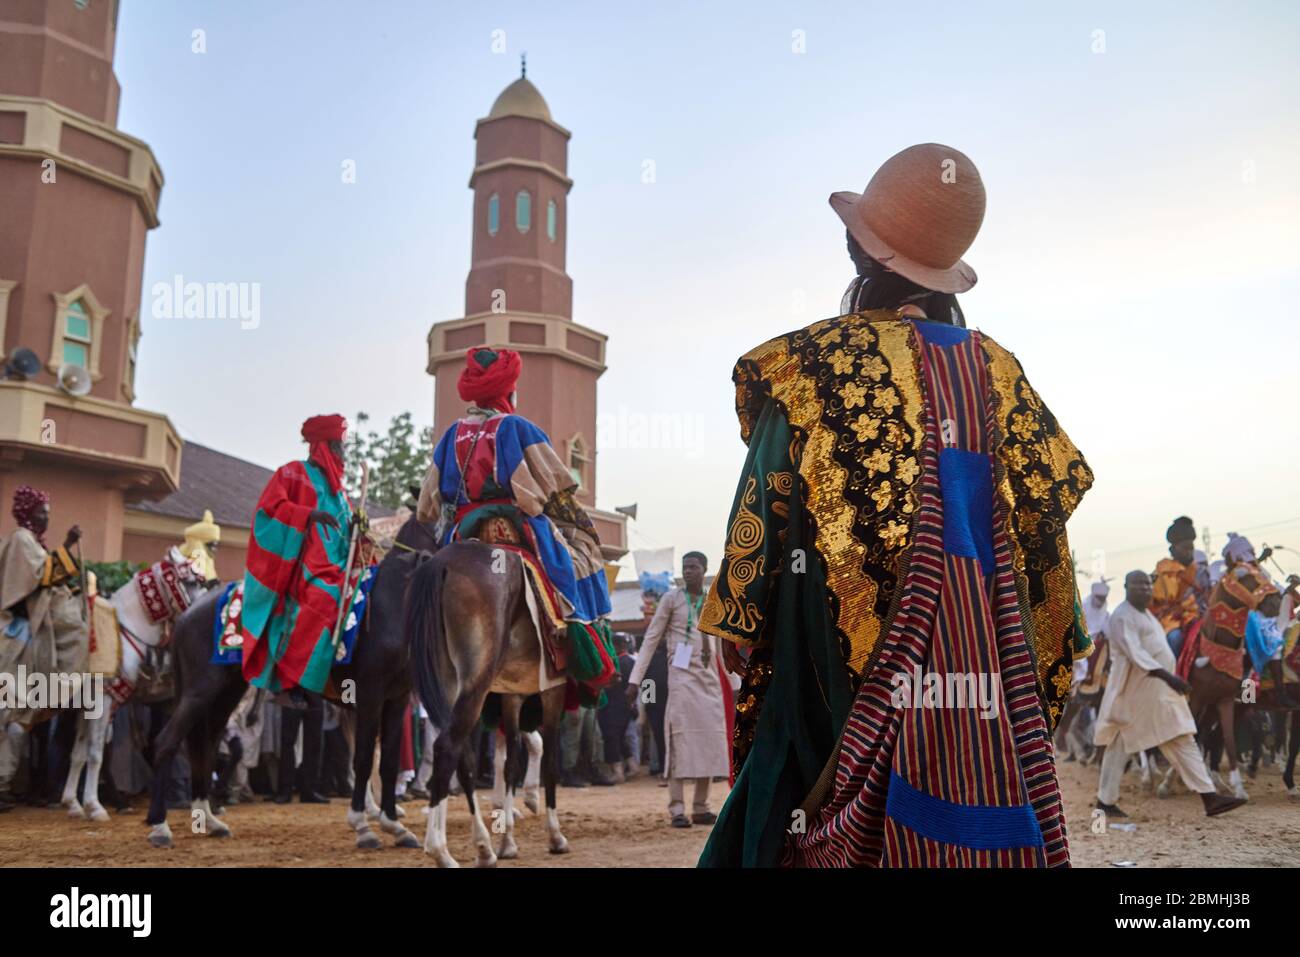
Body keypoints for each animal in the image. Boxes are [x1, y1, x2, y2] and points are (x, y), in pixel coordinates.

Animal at [60, 548, 208, 826]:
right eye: (191, 581)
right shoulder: (103, 700)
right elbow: (95, 753)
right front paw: (94, 805)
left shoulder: (88, 705)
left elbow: (79, 752)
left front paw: (73, 803)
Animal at [405, 538, 569, 868]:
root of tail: (441, 563)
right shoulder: (553, 689)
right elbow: (548, 761)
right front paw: (554, 835)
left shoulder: (511, 694)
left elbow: (512, 759)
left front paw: (508, 838)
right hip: (475, 679)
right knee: (447, 747)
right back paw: (441, 850)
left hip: (451, 682)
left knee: (462, 755)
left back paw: (483, 847)